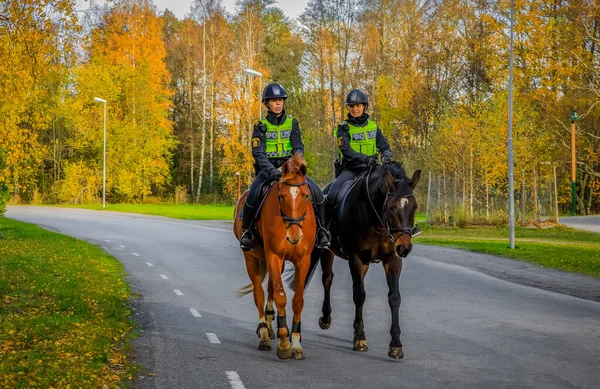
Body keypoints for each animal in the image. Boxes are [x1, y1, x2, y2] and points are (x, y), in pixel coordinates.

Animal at [232, 153, 316, 360]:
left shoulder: (303, 260)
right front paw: (285, 343)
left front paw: (296, 342)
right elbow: (280, 296)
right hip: (252, 258)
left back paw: (270, 327)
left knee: (269, 288)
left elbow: (297, 300)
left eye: (305, 195)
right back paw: (263, 333)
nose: (294, 236)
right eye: (281, 196)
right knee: (259, 293)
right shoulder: (273, 256)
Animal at [312, 162, 420, 360]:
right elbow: (359, 295)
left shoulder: (392, 260)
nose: (404, 247)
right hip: (327, 252)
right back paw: (326, 318)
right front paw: (360, 339)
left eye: (415, 207)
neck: (376, 220)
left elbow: (394, 297)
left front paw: (395, 345)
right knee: (327, 279)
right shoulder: (356, 258)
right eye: (392, 207)